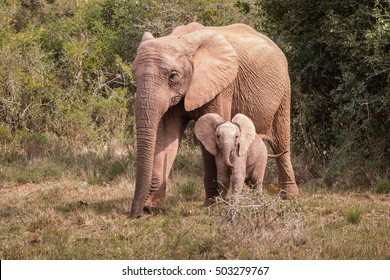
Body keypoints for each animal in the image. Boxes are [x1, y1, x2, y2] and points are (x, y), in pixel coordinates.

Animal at [131, 23, 298, 218]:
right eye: (134, 75)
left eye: (173, 76)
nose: (136, 214)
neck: (183, 40)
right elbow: (166, 137)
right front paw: (152, 207)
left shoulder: (222, 86)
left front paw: (212, 204)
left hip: (285, 90)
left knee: (281, 143)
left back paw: (290, 197)